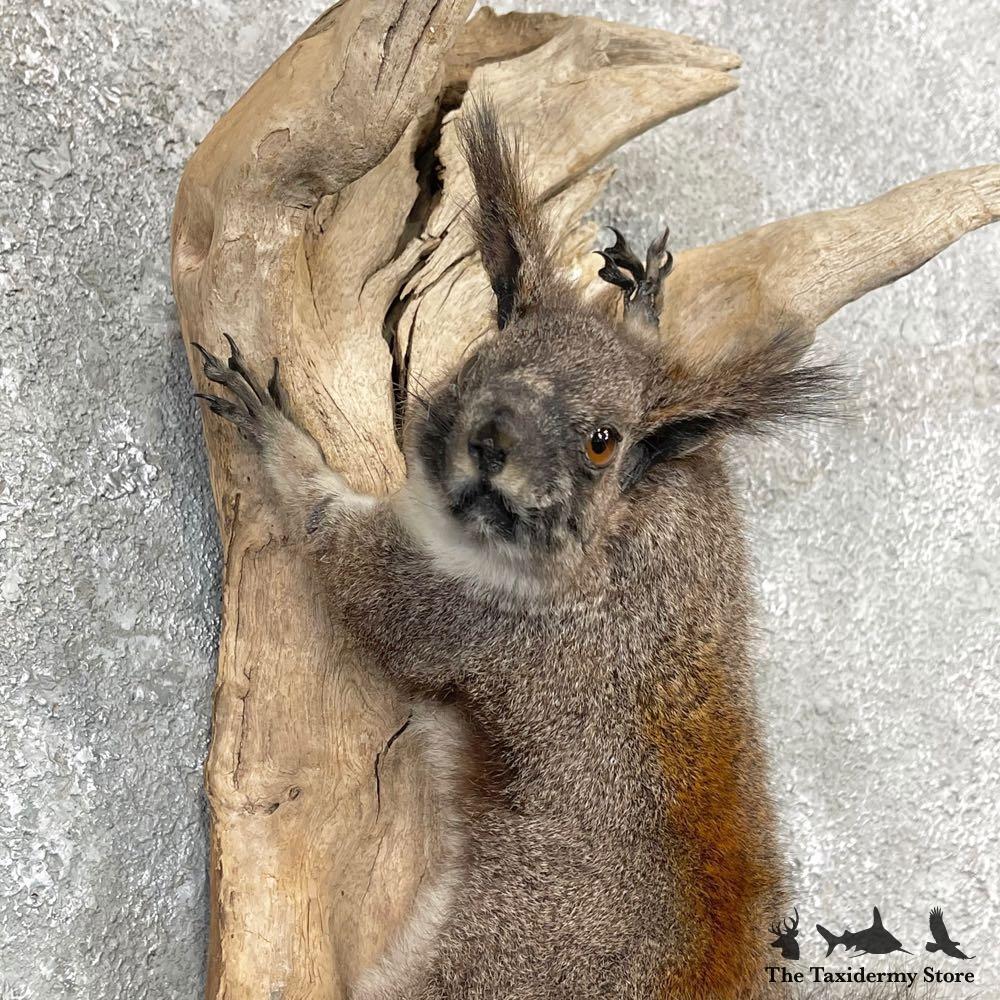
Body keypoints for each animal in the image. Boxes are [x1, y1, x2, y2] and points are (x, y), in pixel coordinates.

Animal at [193, 102, 842, 1000]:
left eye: (603, 442)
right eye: (486, 357)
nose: (492, 438)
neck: (622, 539)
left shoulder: (466, 615)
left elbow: (344, 550)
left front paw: (277, 436)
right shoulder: (708, 513)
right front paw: (643, 306)